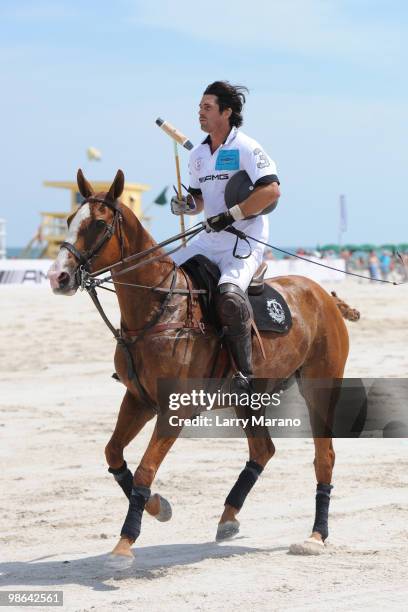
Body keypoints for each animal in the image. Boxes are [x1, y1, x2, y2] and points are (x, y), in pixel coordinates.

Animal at [47, 170, 354, 568]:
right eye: (69, 220)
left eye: (98, 224)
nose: (57, 277)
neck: (159, 308)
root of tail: (324, 296)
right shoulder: (138, 399)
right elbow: (114, 454)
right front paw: (159, 507)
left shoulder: (174, 410)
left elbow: (145, 469)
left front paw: (124, 545)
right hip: (248, 398)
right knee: (263, 450)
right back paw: (228, 517)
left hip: (320, 386)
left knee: (324, 456)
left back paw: (316, 535)